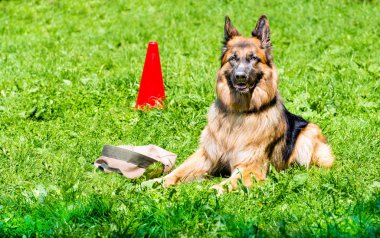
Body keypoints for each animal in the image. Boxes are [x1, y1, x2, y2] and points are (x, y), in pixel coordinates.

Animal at [147, 15, 334, 193]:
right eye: (233, 59)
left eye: (253, 59)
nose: (240, 76)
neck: (239, 112)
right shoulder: (206, 156)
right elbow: (179, 171)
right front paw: (157, 182)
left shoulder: (250, 167)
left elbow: (228, 183)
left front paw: (213, 190)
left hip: (308, 134)